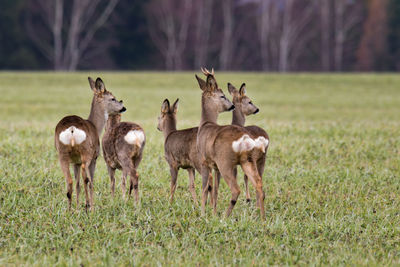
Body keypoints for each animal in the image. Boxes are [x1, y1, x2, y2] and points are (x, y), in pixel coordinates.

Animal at [195, 68, 268, 220]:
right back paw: (262, 218)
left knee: (236, 190)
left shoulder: (204, 161)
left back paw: (224, 218)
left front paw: (204, 214)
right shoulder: (215, 166)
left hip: (226, 162)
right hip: (247, 161)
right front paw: (213, 212)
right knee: (258, 184)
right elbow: (215, 190)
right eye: (223, 96)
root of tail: (245, 138)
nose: (232, 106)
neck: (205, 125)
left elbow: (205, 188)